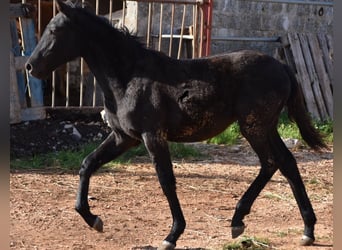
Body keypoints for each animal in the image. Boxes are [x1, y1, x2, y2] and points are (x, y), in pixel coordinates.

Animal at [26, 0, 326, 249]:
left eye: (54, 30)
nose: (30, 67)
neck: (130, 77)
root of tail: (283, 67)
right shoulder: (124, 137)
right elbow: (88, 164)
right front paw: (93, 219)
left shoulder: (152, 136)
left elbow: (166, 180)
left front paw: (172, 235)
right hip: (266, 127)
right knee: (286, 163)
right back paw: (306, 230)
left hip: (254, 127)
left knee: (271, 163)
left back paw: (239, 220)